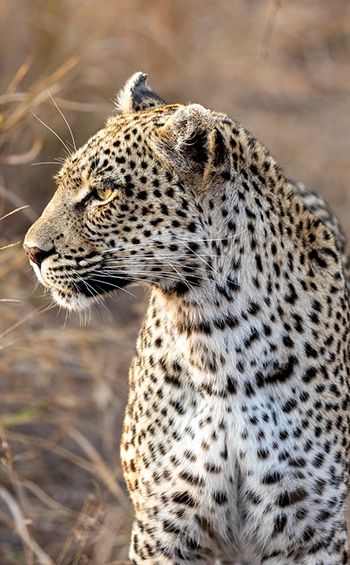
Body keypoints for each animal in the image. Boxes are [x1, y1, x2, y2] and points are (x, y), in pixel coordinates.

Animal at [23, 71, 350, 564]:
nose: (30, 251)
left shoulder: (316, 530)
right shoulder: (163, 526)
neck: (217, 337)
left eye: (103, 193)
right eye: (62, 182)